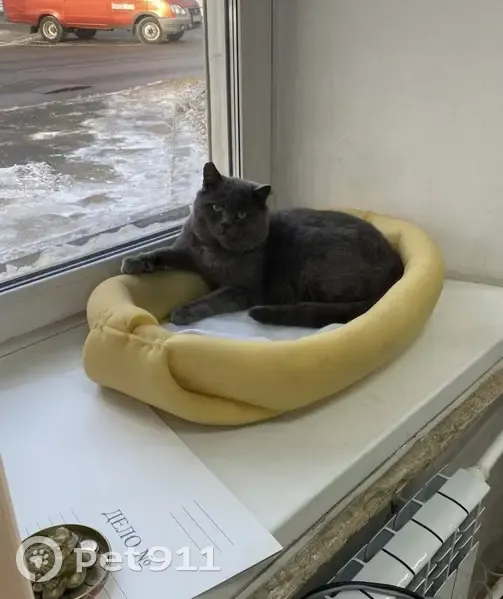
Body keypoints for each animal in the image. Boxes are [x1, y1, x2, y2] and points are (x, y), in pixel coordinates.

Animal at [121, 162, 404, 328]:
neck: (215, 252)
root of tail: (397, 266)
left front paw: (184, 310)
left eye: (241, 215)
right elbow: (163, 253)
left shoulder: (244, 289)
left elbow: (213, 298)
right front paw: (134, 262)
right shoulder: (188, 251)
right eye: (216, 207)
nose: (225, 224)